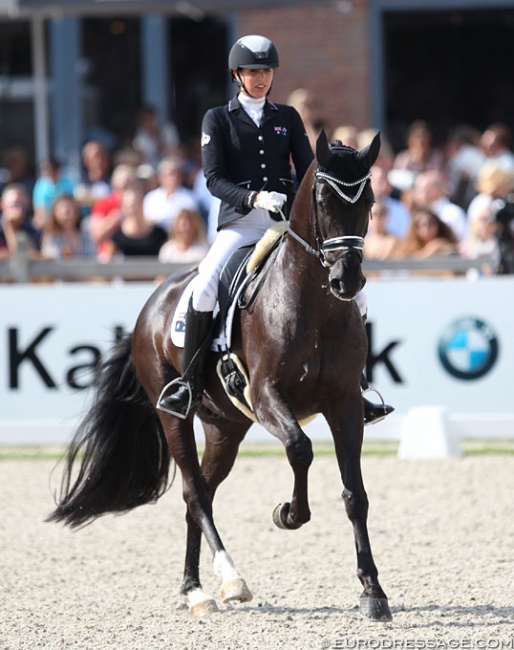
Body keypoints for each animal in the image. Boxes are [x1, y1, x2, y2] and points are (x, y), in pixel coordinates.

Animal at [50, 129, 390, 620]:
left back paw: (194, 586)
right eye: (324, 199)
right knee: (194, 492)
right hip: (174, 416)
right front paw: (288, 514)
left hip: (225, 427)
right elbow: (300, 448)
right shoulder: (267, 396)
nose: (348, 281)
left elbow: (355, 495)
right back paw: (223, 584)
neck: (313, 302)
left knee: (202, 495)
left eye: (370, 201)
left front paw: (373, 591)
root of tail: (152, 304)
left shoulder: (344, 404)